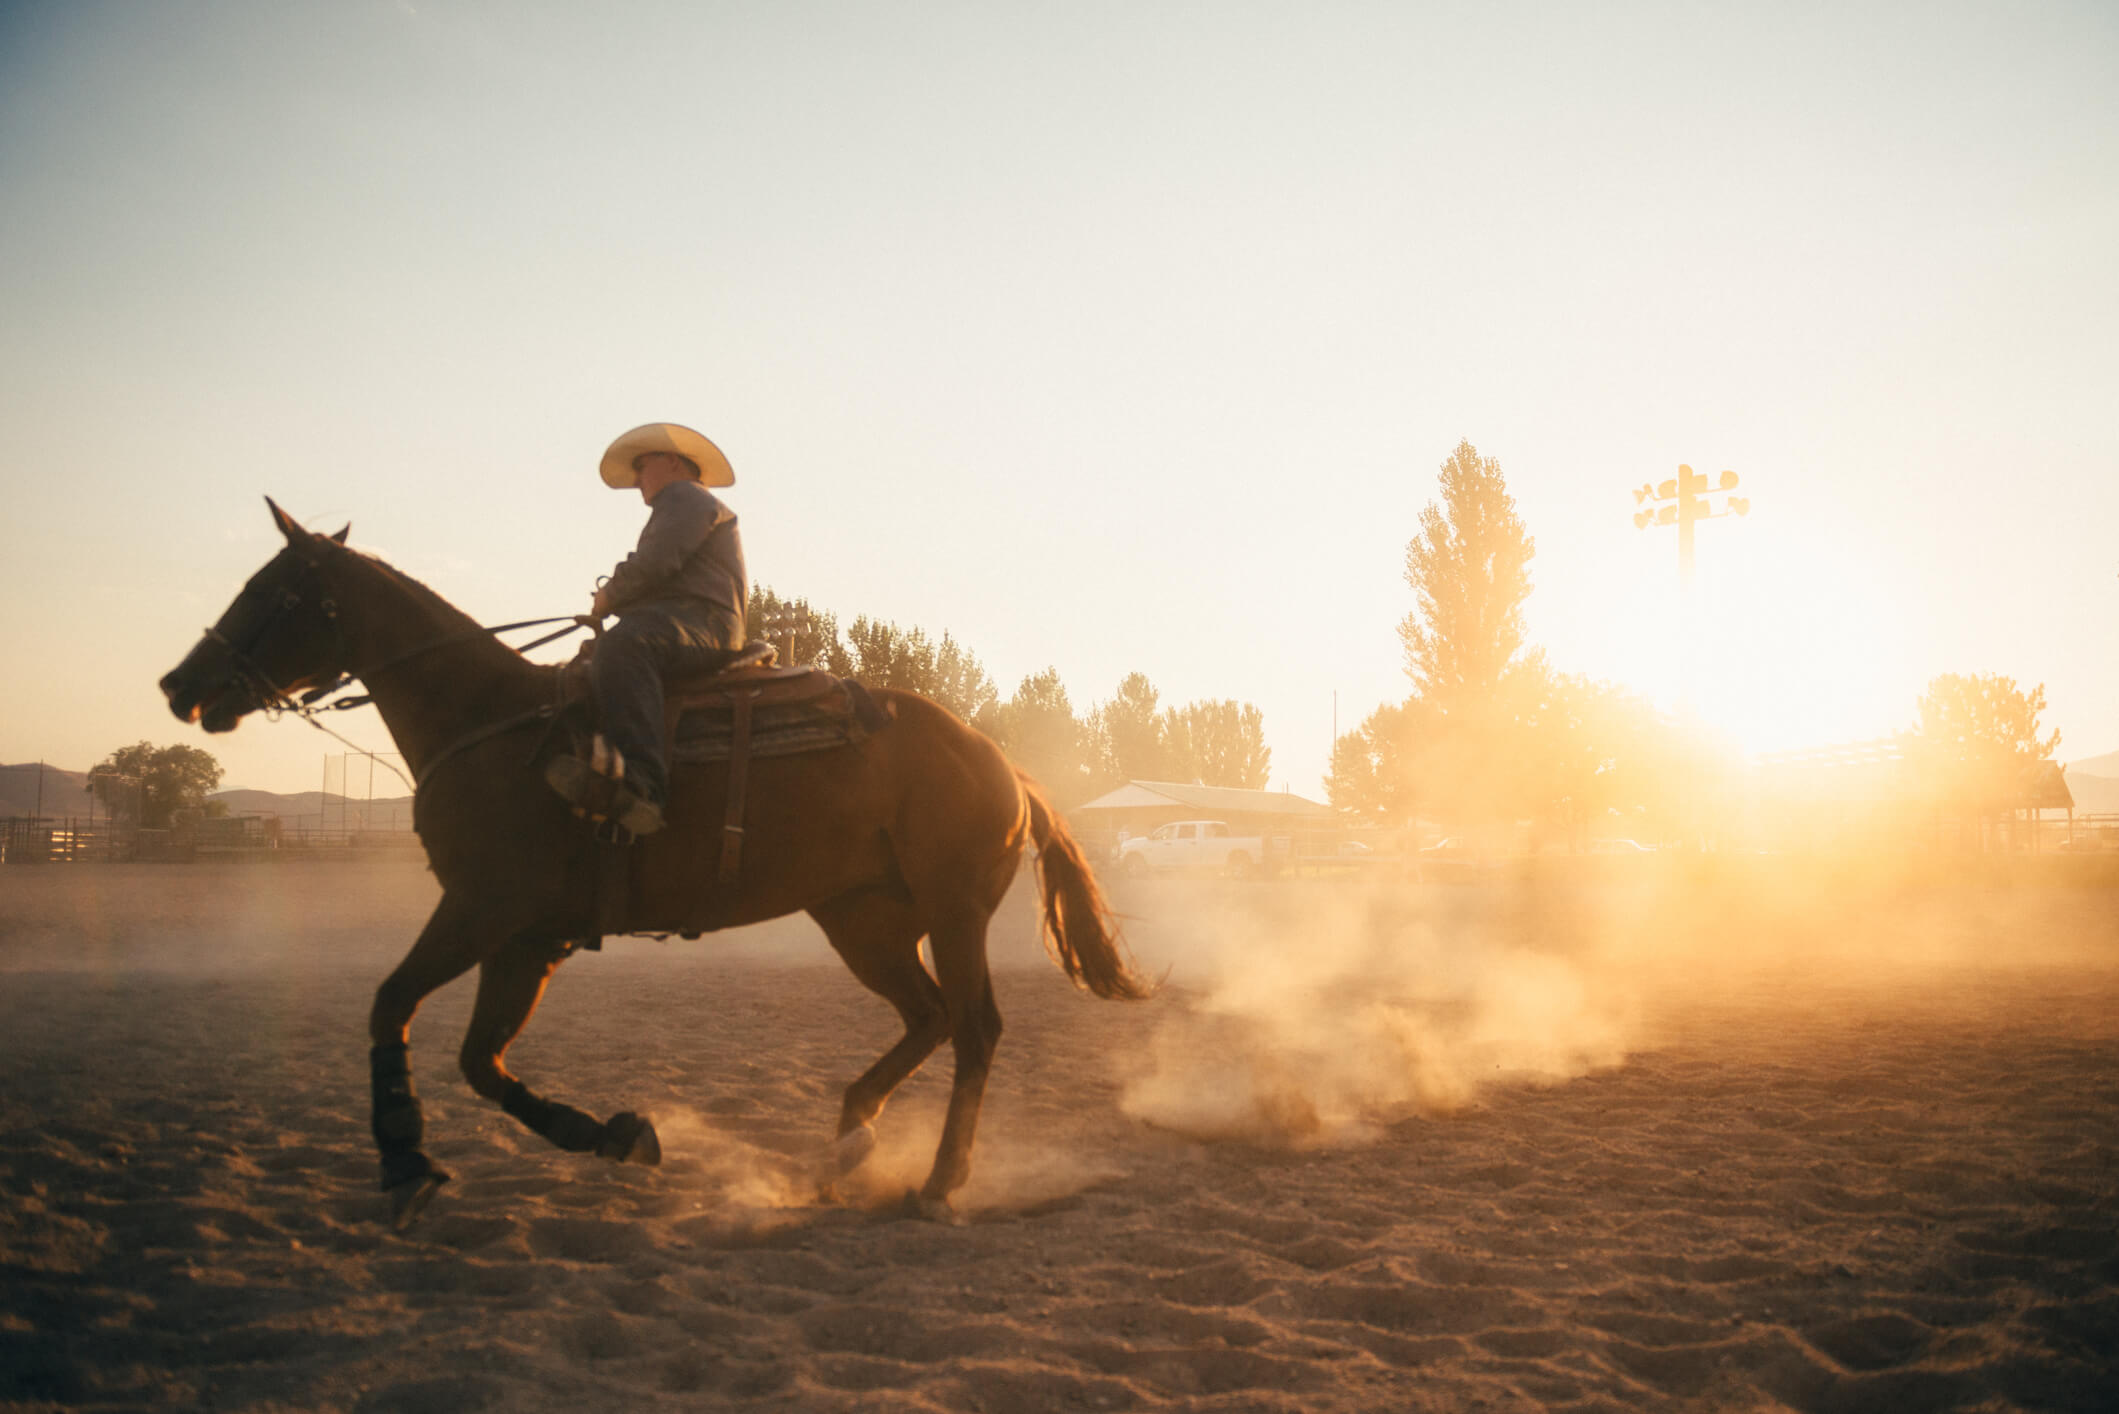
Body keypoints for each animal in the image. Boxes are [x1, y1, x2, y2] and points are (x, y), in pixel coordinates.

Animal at [161, 506, 1161, 1229]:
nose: (179, 686)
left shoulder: (481, 910)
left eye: (272, 590)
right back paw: (846, 1142)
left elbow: (391, 1007)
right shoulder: (527, 939)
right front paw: (619, 1133)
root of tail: (1004, 764)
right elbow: (482, 1062)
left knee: (976, 1026)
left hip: (950, 912)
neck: (492, 723)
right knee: (930, 1017)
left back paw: (938, 1183)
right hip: (862, 919)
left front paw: (406, 1166)